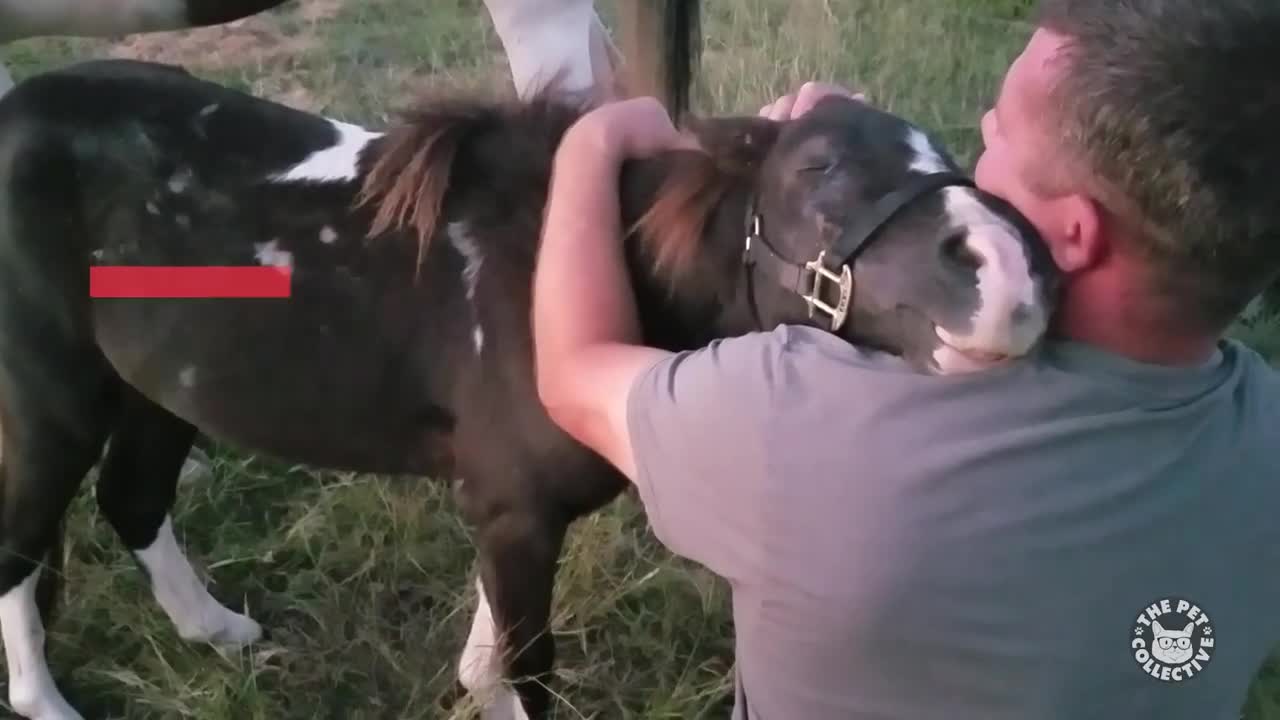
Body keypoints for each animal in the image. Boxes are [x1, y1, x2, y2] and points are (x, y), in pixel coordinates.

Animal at [0, 39, 1059, 720]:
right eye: (818, 168)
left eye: (954, 154)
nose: (1011, 277)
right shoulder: (513, 507)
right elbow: (529, 666)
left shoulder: (501, 503)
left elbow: (496, 655)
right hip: (51, 398)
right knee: (24, 542)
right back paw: (46, 702)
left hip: (151, 387)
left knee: (134, 498)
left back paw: (217, 630)